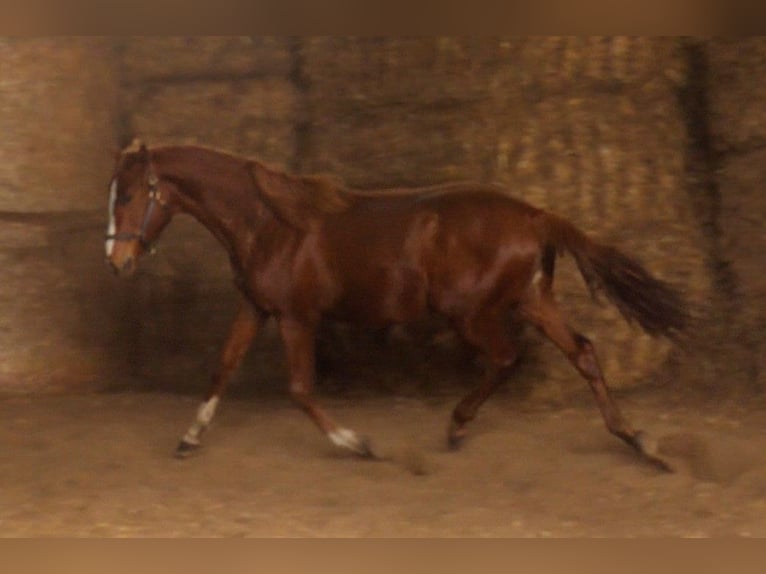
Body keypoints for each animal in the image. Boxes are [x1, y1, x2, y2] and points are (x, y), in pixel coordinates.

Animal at [105, 143, 688, 472]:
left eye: (129, 195)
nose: (117, 260)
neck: (269, 223)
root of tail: (534, 215)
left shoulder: (297, 317)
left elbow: (300, 390)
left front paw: (360, 445)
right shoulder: (256, 306)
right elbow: (222, 368)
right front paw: (188, 439)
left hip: (471, 312)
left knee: (505, 358)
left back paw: (456, 426)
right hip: (532, 299)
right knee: (584, 352)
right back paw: (642, 443)